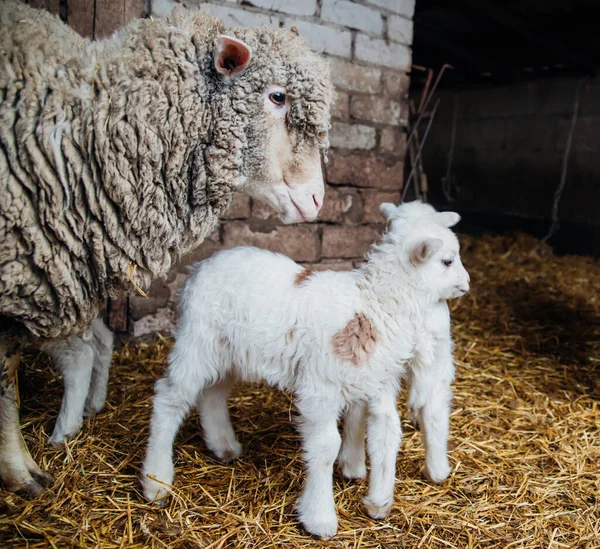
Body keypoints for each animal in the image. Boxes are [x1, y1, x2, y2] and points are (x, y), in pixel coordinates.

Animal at [143, 201, 472, 536]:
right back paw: (156, 481)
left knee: (213, 393)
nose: (468, 282)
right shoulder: (320, 387)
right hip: (197, 340)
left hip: (229, 352)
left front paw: (378, 503)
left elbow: (386, 433)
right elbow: (326, 446)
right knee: (170, 397)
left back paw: (223, 446)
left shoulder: (378, 382)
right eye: (447, 261)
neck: (374, 303)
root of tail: (201, 266)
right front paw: (320, 518)